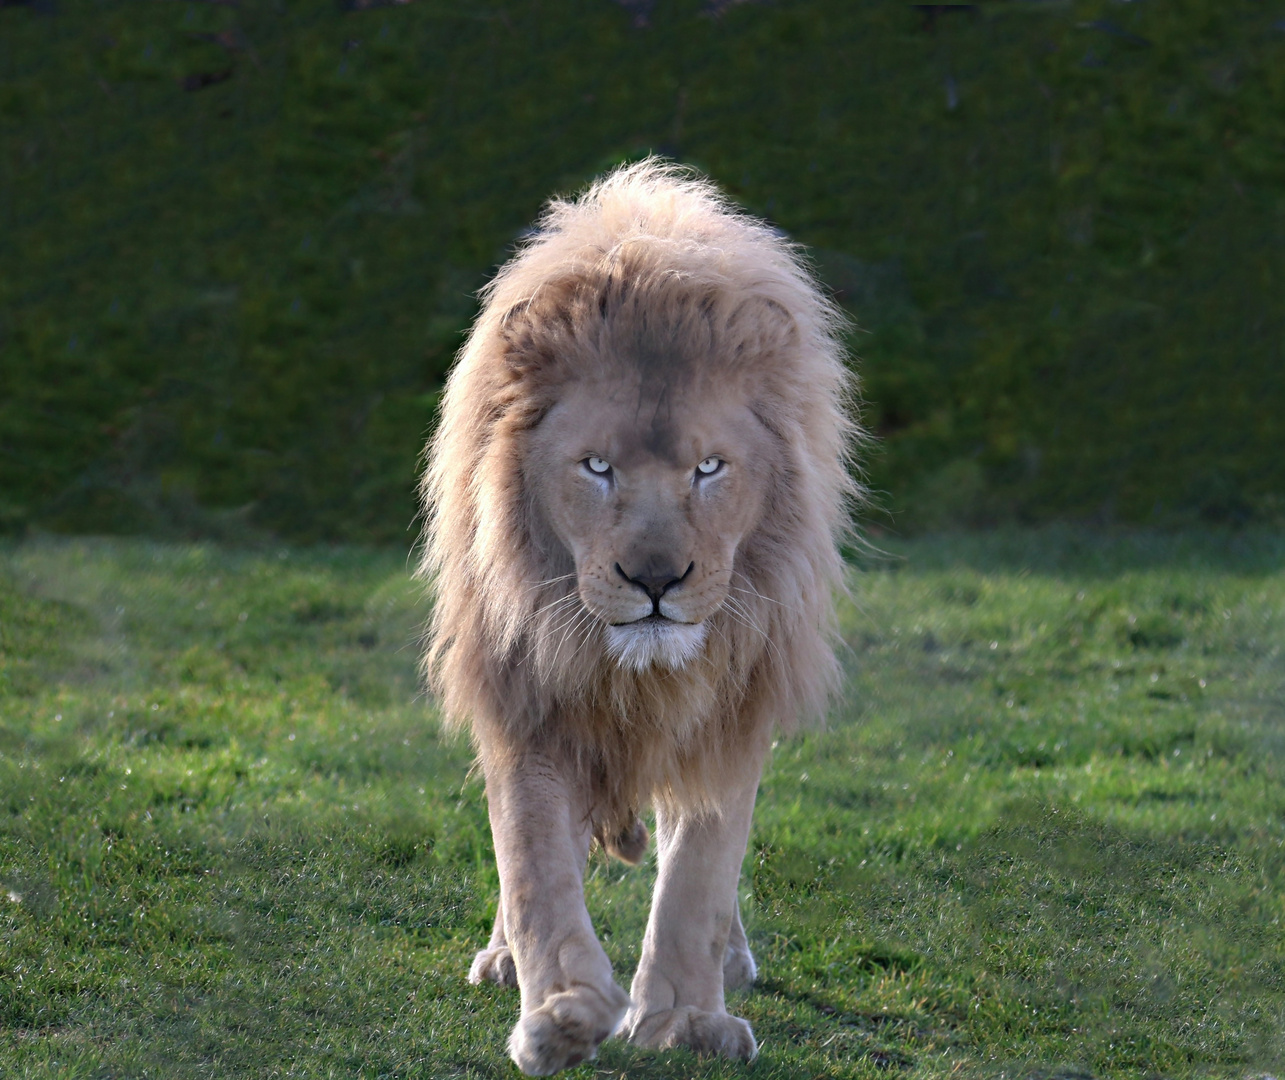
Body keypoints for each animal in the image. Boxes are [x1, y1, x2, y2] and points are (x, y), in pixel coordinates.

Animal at [421, 158, 858, 1069]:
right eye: (596, 467)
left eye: (708, 467)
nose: (656, 579)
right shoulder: (526, 698)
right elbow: (534, 866)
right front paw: (562, 1014)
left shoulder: (732, 706)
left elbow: (699, 875)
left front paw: (685, 1020)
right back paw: (502, 960)